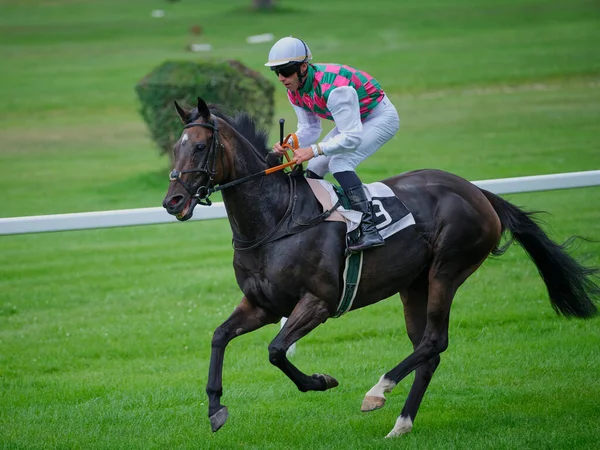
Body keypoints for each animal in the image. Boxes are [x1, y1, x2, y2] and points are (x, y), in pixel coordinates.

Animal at [162, 96, 596, 438]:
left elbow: (276, 350)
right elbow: (219, 336)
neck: (276, 220)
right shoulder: (263, 305)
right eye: (174, 147)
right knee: (427, 350)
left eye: (199, 147)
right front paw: (215, 408)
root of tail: (478, 192)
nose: (173, 201)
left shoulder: (318, 302)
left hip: (447, 270)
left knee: (434, 341)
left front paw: (321, 381)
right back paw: (401, 424)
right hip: (414, 284)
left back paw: (377, 391)